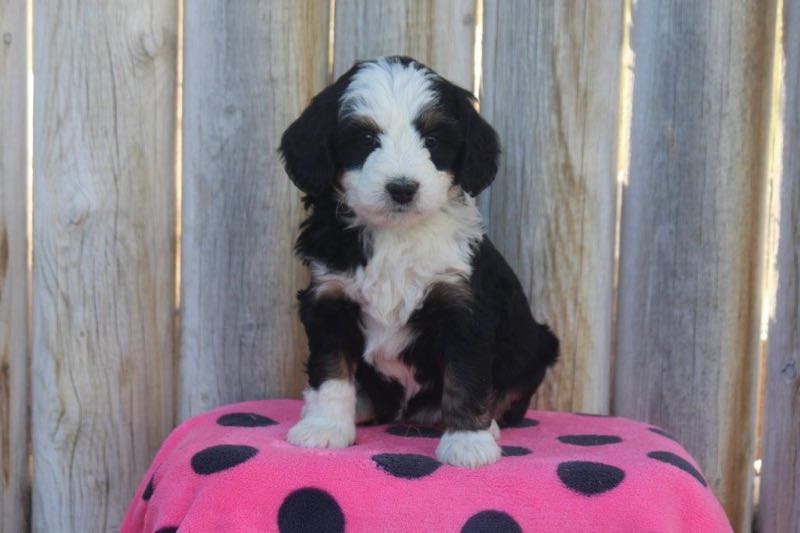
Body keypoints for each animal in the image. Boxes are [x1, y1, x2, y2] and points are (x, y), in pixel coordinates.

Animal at [279, 56, 558, 468]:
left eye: (433, 140)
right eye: (366, 139)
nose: (402, 188)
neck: (397, 234)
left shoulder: (463, 307)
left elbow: (466, 376)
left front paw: (467, 442)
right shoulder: (329, 299)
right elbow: (331, 370)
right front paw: (325, 426)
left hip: (534, 346)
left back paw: (487, 425)